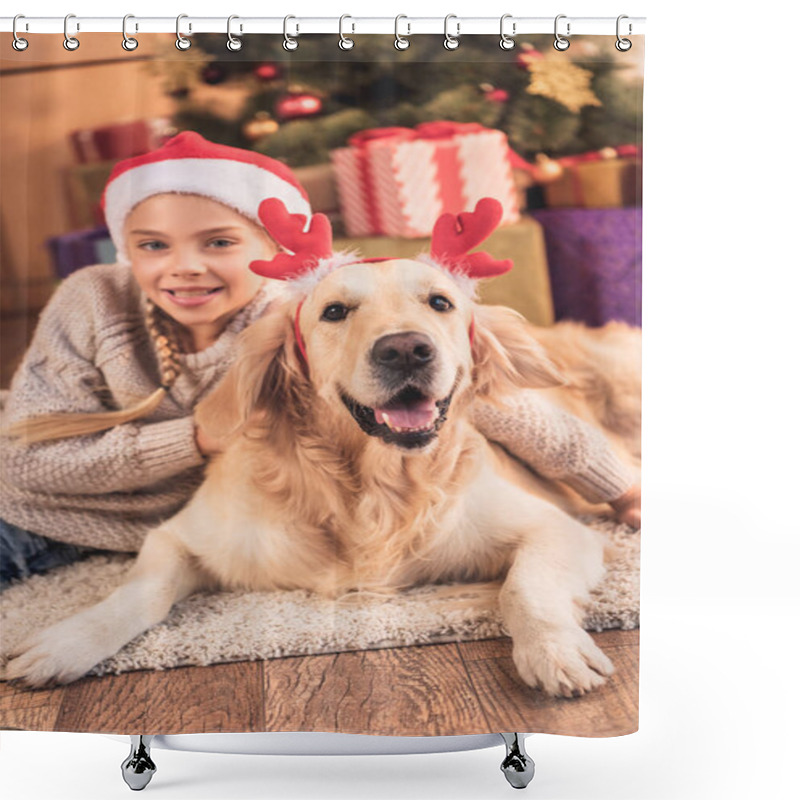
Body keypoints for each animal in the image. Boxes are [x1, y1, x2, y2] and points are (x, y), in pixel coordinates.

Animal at [4, 198, 636, 692]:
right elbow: (139, 592)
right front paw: (66, 642)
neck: (373, 487)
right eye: (334, 311)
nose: (406, 350)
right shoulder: (179, 538)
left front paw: (554, 651)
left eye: (440, 302)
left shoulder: (555, 529)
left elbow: (524, 588)